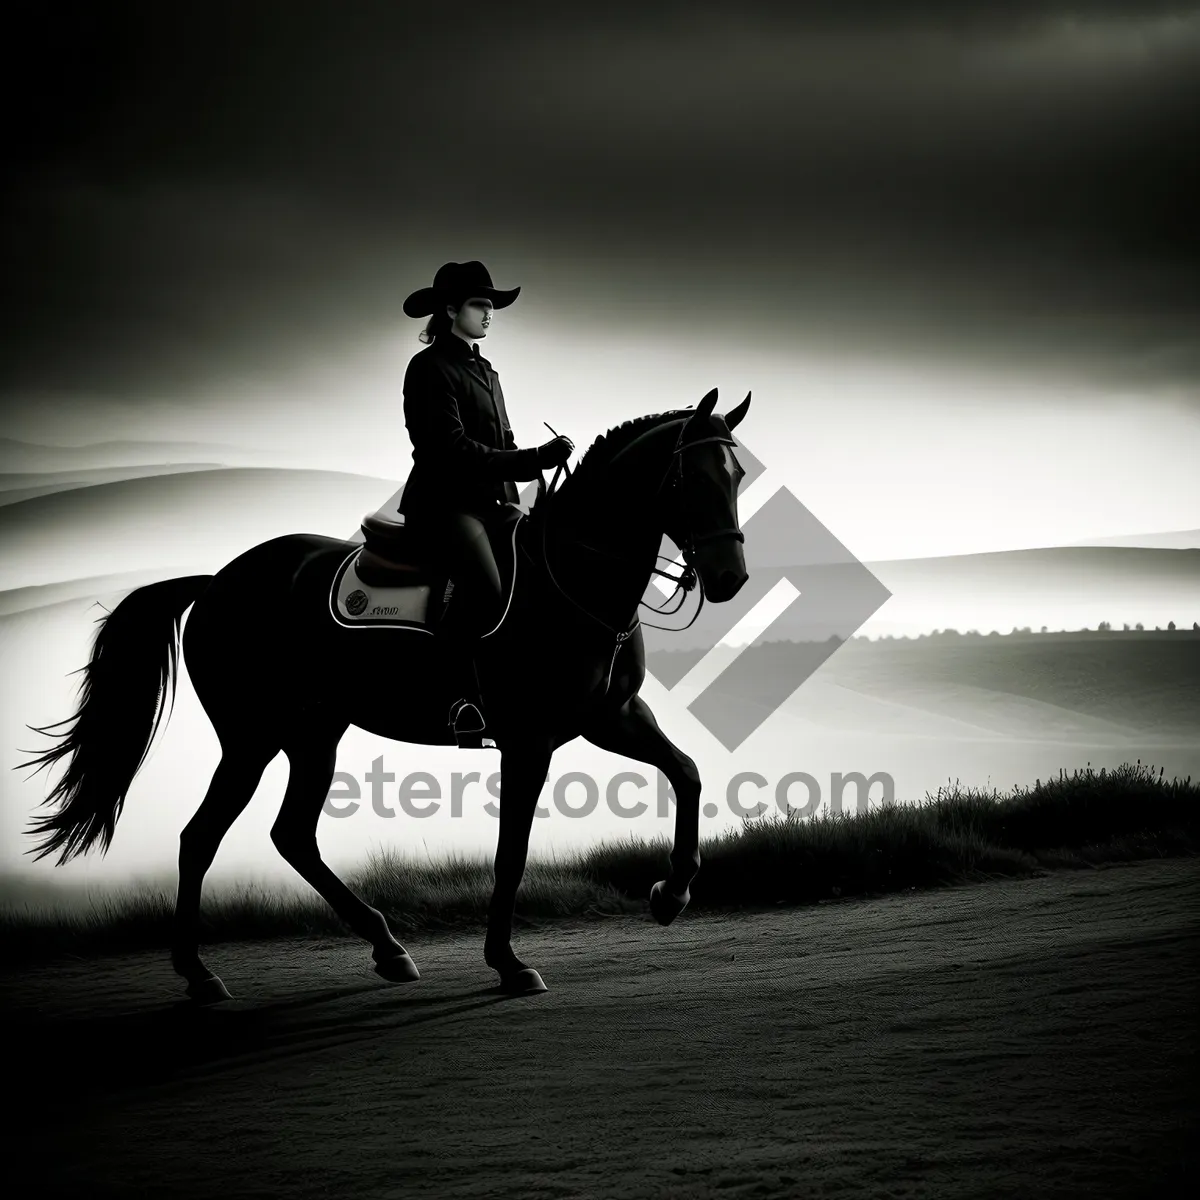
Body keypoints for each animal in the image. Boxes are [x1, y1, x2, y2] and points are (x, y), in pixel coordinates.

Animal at [21, 388, 748, 998]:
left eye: (736, 476)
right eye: (691, 479)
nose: (730, 577)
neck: (568, 581)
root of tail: (218, 581)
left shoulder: (611, 716)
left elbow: (686, 773)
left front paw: (672, 893)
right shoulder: (528, 739)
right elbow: (510, 852)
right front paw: (509, 963)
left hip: (313, 734)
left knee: (291, 836)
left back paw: (387, 948)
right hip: (252, 738)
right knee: (200, 838)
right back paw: (200, 977)